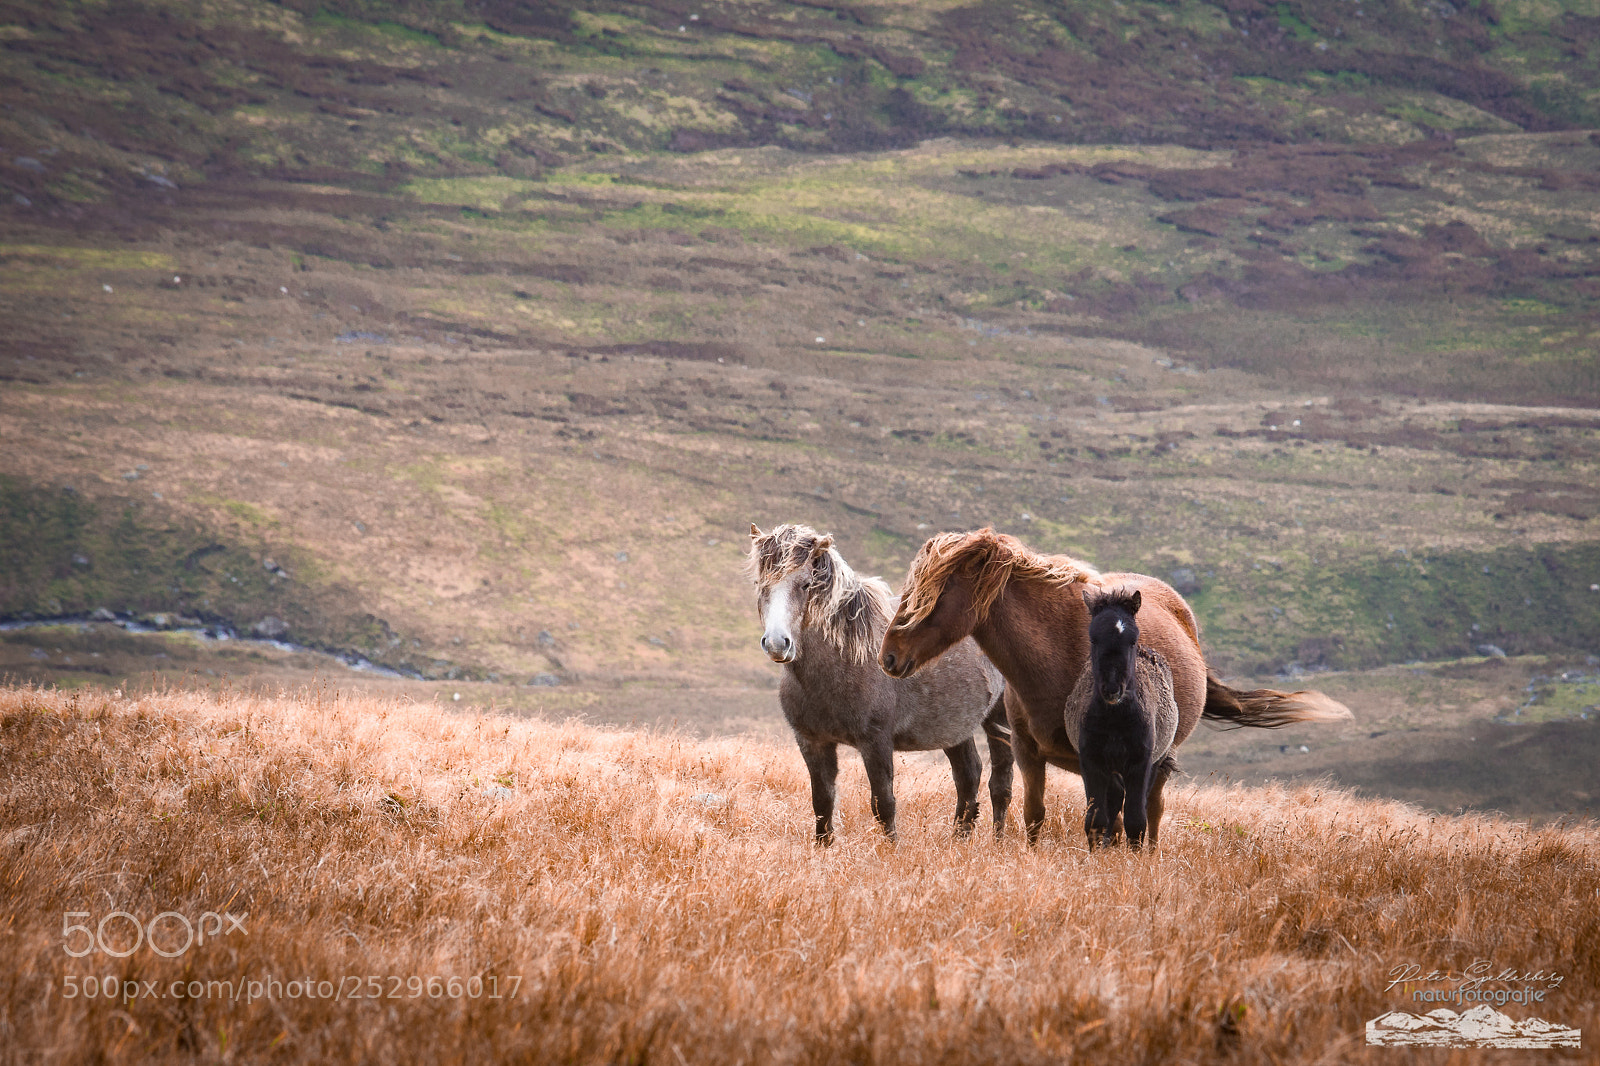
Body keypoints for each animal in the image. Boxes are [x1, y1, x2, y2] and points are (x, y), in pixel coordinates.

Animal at [748, 523, 1013, 844]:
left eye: (806, 584)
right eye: (760, 584)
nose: (777, 643)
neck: (843, 661)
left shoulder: (876, 742)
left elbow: (883, 804)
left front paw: (891, 849)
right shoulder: (812, 741)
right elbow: (822, 802)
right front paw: (823, 849)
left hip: (999, 719)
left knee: (1000, 784)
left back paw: (998, 842)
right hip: (953, 726)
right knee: (968, 775)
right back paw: (958, 840)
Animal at [1064, 586, 1179, 850]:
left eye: (1132, 639)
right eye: (1093, 638)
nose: (1112, 689)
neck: (1115, 719)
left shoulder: (1141, 763)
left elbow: (1136, 819)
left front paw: (1134, 856)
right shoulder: (1091, 762)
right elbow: (1095, 818)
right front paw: (1098, 852)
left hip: (1153, 763)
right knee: (1114, 800)